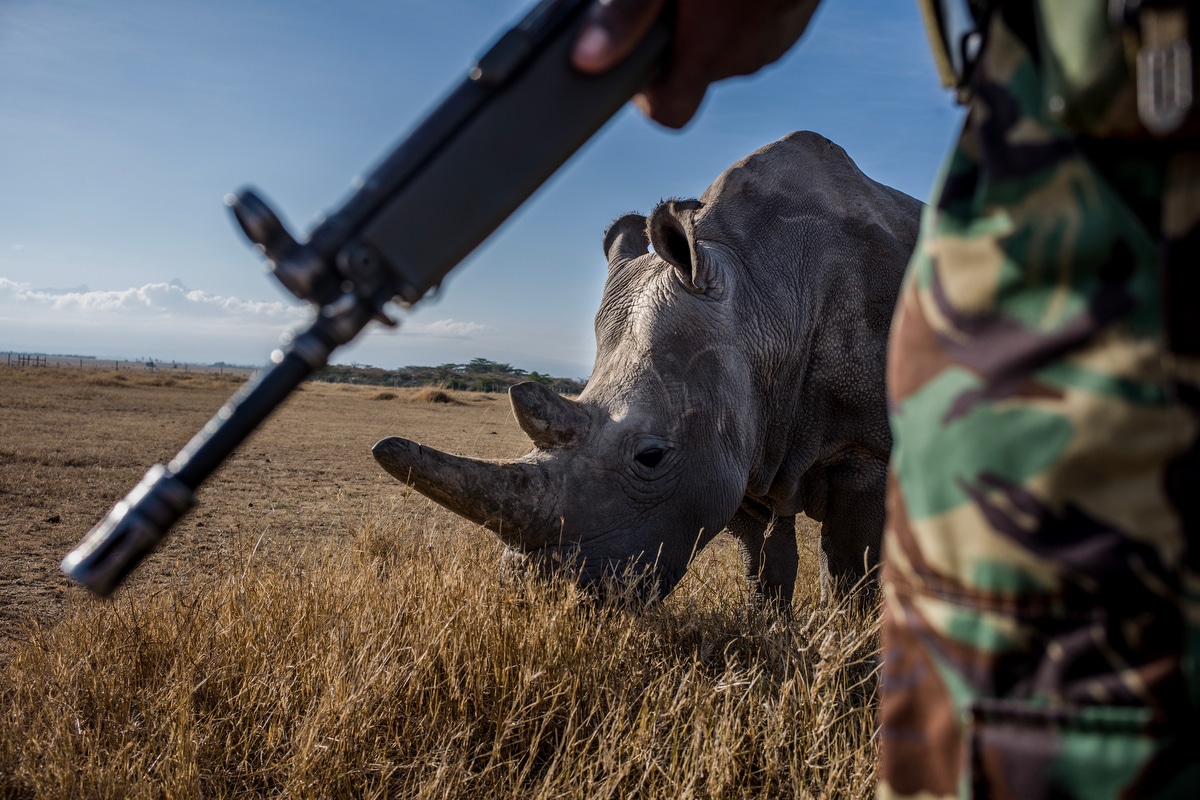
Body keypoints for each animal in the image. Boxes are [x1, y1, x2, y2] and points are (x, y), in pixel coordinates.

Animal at [374, 133, 916, 606]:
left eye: (651, 457)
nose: (538, 591)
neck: (763, 296)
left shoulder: (867, 452)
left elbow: (849, 571)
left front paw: (845, 649)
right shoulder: (747, 431)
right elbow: (762, 561)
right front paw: (769, 634)